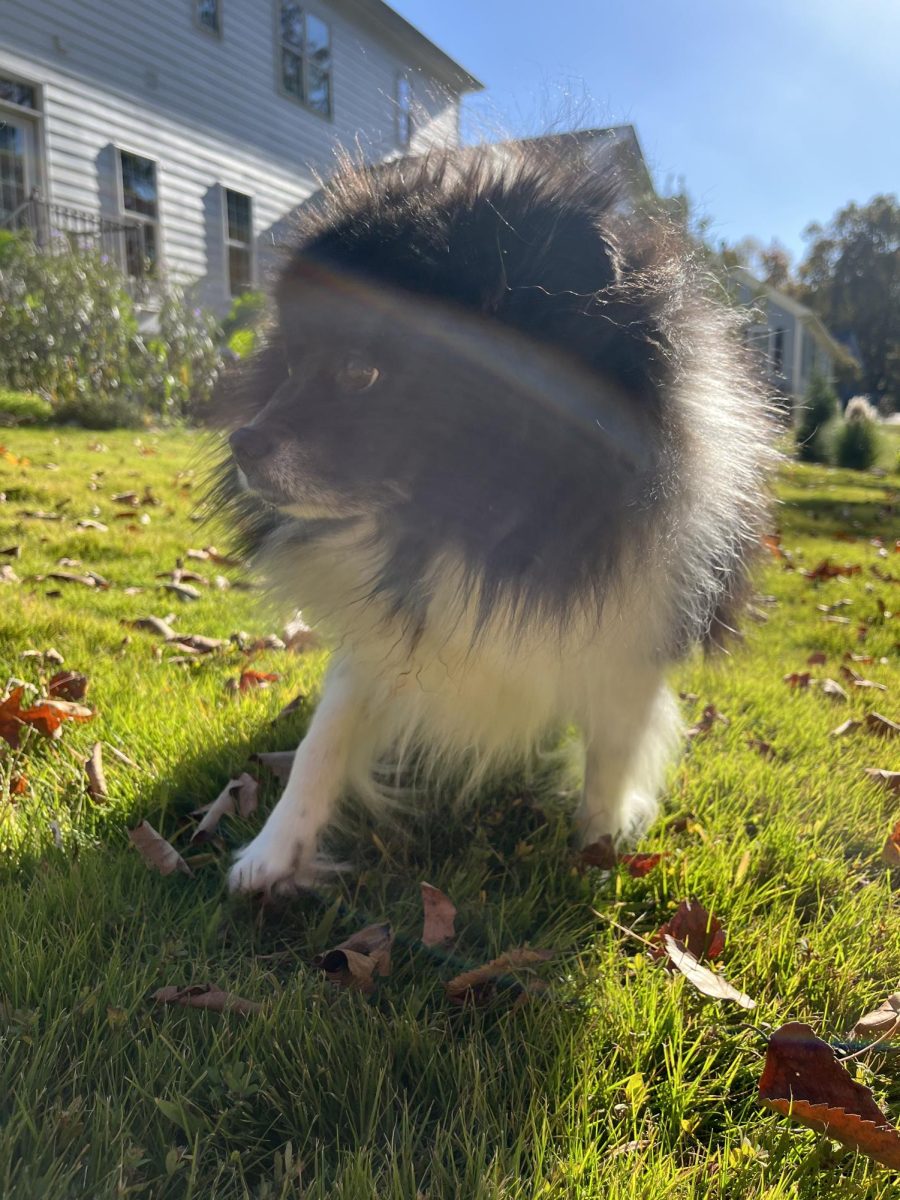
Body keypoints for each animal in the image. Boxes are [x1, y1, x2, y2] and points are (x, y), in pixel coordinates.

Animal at [211, 142, 777, 892]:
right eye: (293, 363)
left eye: (361, 372)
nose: (241, 443)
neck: (480, 532)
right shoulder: (390, 630)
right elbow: (324, 738)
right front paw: (274, 853)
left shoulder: (629, 646)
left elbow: (610, 761)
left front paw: (596, 856)